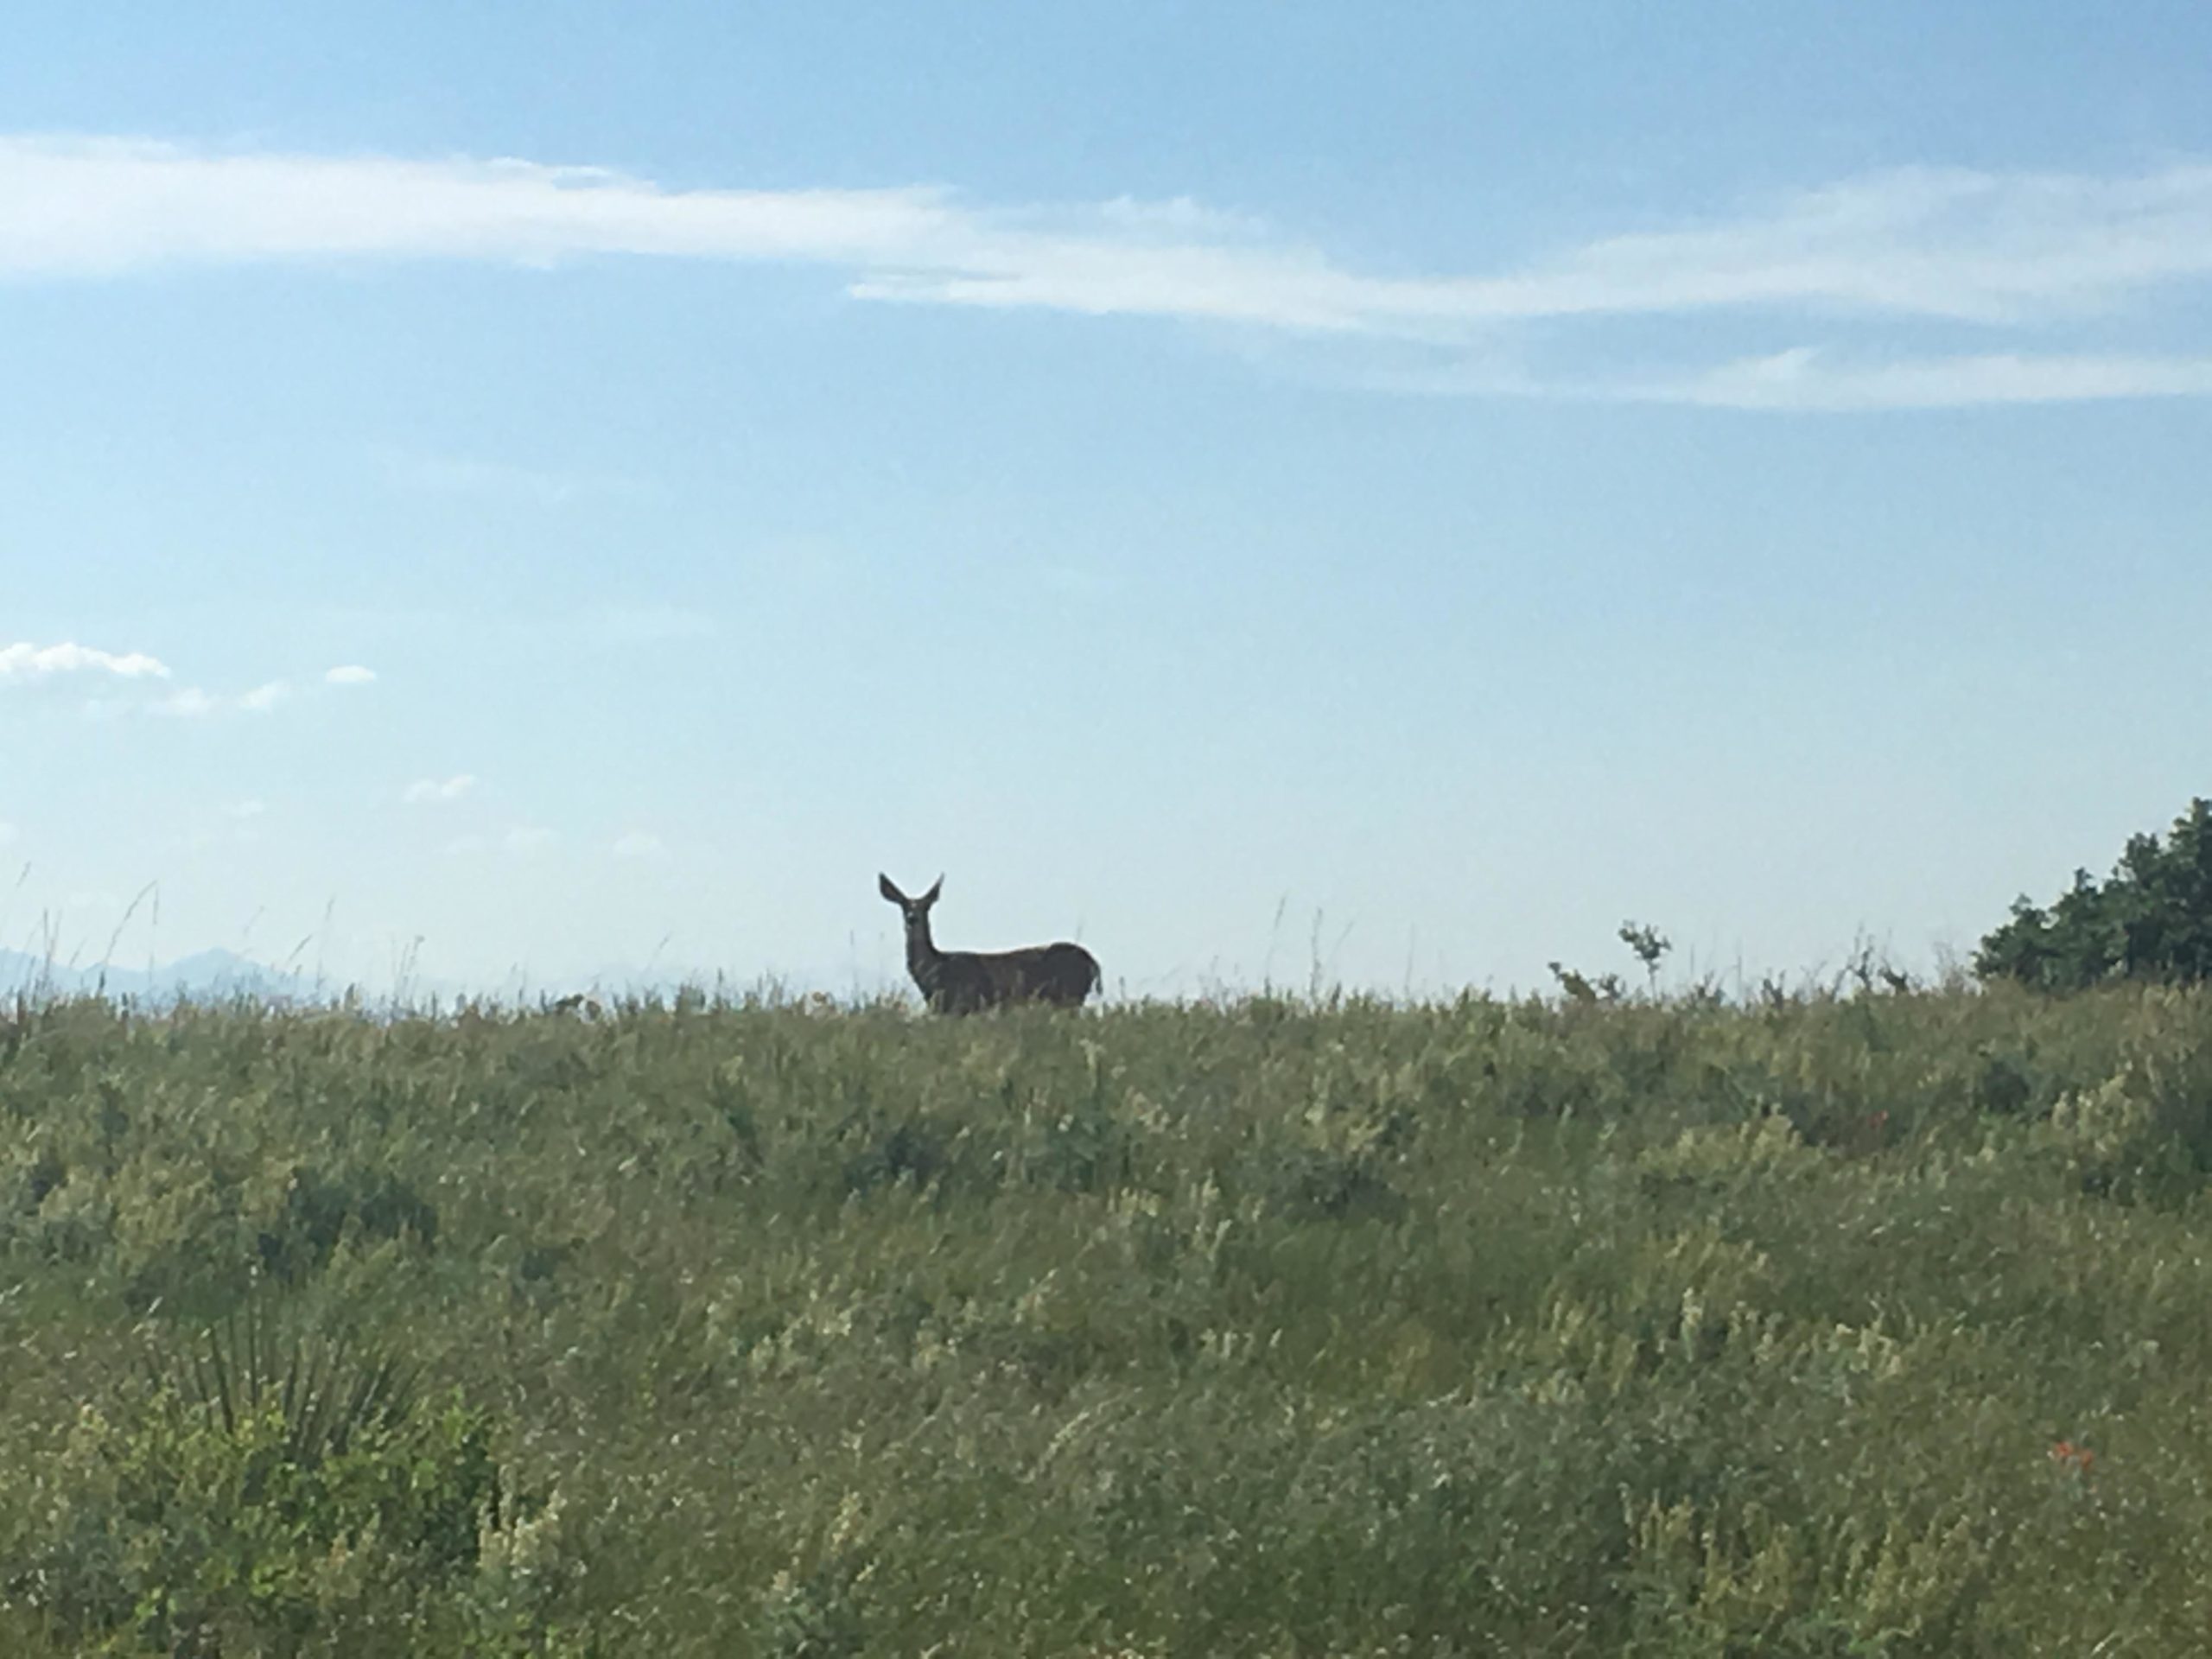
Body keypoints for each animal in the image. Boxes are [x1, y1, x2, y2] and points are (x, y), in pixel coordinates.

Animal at [878, 873, 1101, 1014]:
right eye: (903, 905)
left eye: (927, 906)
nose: (912, 918)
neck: (936, 970)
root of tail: (1093, 963)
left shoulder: (964, 1003)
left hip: (1070, 995)